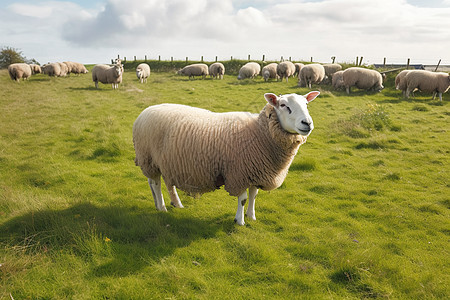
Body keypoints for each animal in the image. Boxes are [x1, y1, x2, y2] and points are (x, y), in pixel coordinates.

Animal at [133, 91, 320, 225]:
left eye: (306, 104)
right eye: (283, 105)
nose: (307, 123)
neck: (260, 133)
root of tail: (145, 111)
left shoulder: (256, 171)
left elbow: (254, 195)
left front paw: (251, 216)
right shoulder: (239, 173)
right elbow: (243, 199)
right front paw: (240, 221)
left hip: (166, 162)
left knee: (164, 182)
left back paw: (175, 204)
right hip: (149, 159)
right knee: (155, 183)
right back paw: (162, 207)